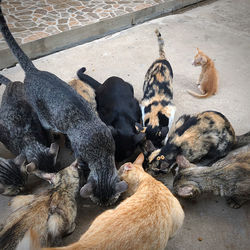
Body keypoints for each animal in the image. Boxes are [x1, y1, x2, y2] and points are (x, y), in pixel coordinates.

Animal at [0, 1, 126, 205]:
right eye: (99, 204)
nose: (106, 207)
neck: (101, 150)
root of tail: (33, 72)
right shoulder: (81, 153)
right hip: (44, 119)